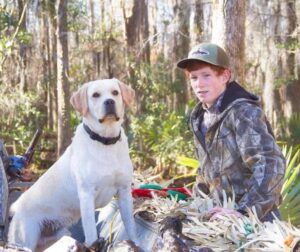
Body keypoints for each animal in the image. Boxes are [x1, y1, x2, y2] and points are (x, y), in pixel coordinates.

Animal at [7, 78, 138, 250]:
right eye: (95, 95)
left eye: (115, 92)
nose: (109, 101)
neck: (105, 142)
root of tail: (16, 207)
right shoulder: (87, 195)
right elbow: (91, 231)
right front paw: (93, 245)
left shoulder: (124, 192)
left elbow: (131, 227)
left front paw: (135, 244)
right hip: (24, 239)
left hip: (57, 237)